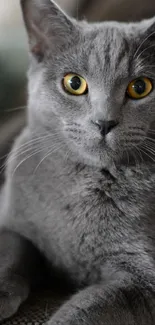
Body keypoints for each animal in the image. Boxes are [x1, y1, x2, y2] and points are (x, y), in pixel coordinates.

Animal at [0, 0, 155, 322]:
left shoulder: (142, 281)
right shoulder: (12, 222)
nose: (104, 122)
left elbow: (88, 309)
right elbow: (11, 250)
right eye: (74, 83)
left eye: (141, 87)